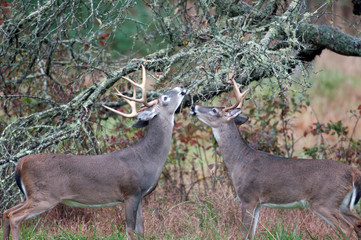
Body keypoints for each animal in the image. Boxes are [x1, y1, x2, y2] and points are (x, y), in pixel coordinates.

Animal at [2, 64, 187, 239]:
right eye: (164, 98)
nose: (182, 86)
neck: (147, 157)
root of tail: (20, 164)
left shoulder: (140, 196)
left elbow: (141, 230)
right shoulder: (130, 192)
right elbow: (129, 230)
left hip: (30, 195)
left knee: (6, 212)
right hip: (45, 195)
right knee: (14, 217)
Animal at [188, 79, 360, 239]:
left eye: (214, 110)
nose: (192, 107)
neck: (239, 160)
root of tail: (353, 172)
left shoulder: (248, 196)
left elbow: (245, 233)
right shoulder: (258, 203)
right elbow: (252, 233)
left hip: (325, 201)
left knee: (347, 228)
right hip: (343, 204)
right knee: (357, 222)